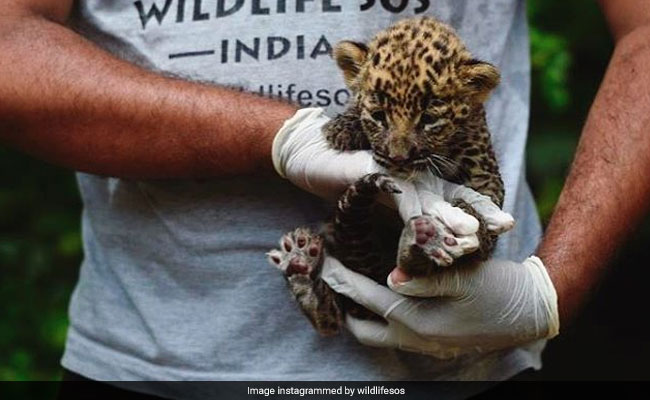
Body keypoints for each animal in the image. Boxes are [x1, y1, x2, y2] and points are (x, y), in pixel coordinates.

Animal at [268, 17, 507, 336]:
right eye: (379, 115)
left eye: (428, 119)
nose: (398, 157)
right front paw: (344, 126)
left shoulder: (484, 172)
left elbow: (482, 209)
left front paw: (471, 225)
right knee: (331, 317)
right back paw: (302, 265)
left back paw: (421, 244)